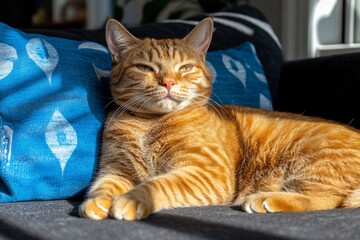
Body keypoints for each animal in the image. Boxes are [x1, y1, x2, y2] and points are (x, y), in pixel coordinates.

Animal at [80, 17, 360, 221]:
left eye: (185, 68)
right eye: (145, 68)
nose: (168, 82)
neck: (149, 123)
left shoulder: (206, 171)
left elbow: (158, 184)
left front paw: (132, 200)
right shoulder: (115, 169)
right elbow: (103, 185)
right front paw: (96, 202)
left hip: (313, 161)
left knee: (331, 200)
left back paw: (264, 199)